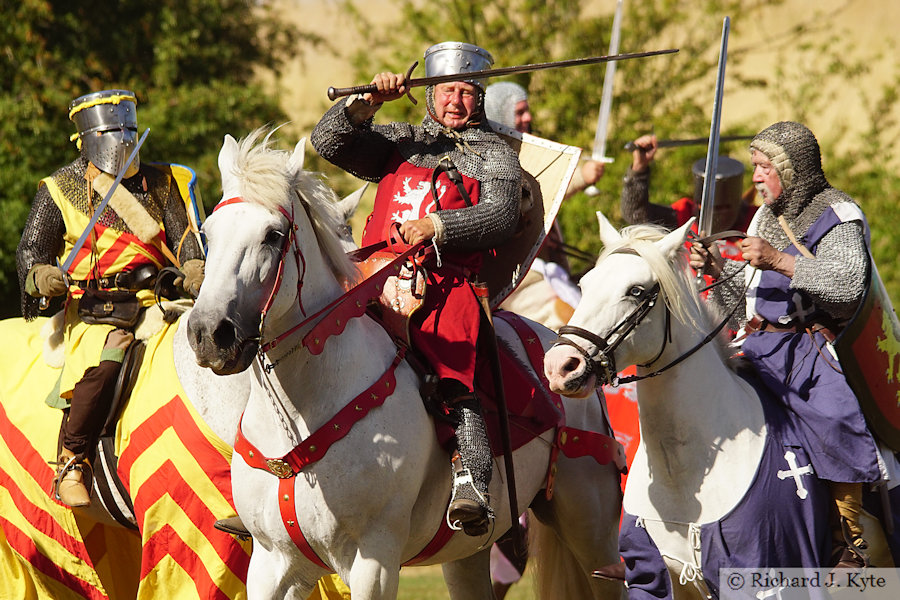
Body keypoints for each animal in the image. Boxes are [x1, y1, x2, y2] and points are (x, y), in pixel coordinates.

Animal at [188, 130, 624, 600]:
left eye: (273, 234)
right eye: (208, 231)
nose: (209, 333)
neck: (305, 404)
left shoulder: (373, 560)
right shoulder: (273, 563)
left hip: (592, 536)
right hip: (466, 551)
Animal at [540, 213, 900, 596]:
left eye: (636, 290)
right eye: (585, 284)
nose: (561, 366)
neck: (682, 471)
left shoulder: (763, 575)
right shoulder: (655, 576)